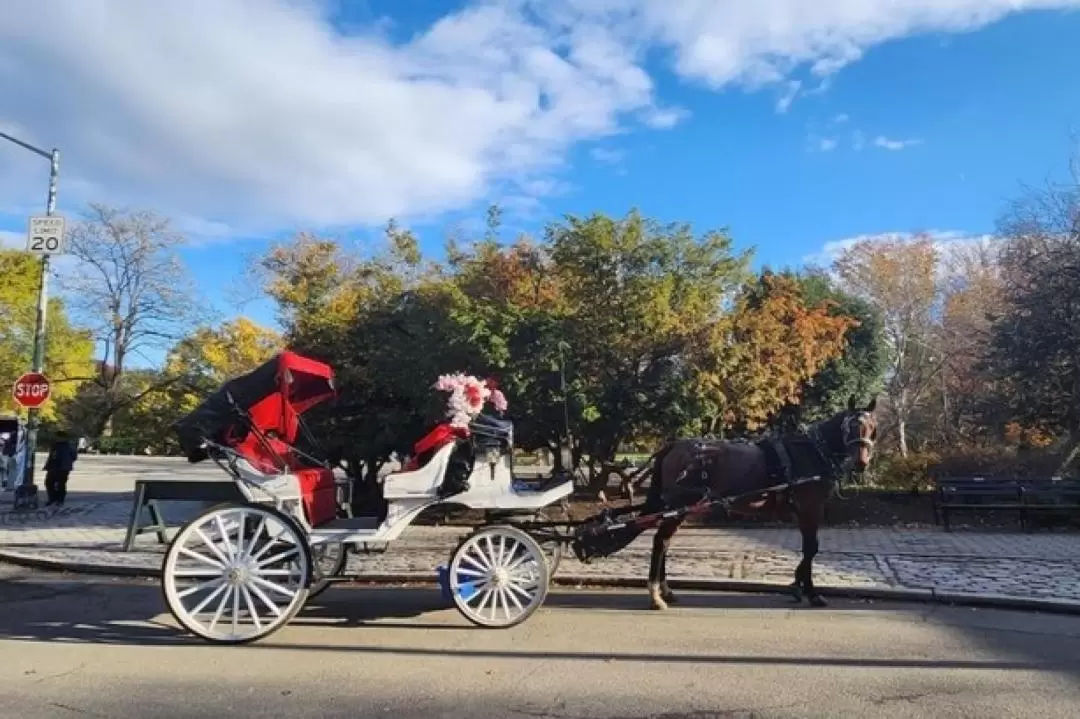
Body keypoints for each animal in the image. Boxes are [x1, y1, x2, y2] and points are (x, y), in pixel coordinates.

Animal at [639, 395, 876, 608]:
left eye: (872, 427)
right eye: (850, 426)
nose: (860, 463)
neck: (813, 450)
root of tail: (673, 445)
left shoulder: (803, 510)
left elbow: (809, 548)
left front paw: (797, 585)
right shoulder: (810, 507)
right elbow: (811, 548)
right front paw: (810, 592)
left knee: (664, 540)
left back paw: (665, 590)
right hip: (679, 504)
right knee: (661, 541)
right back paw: (656, 594)